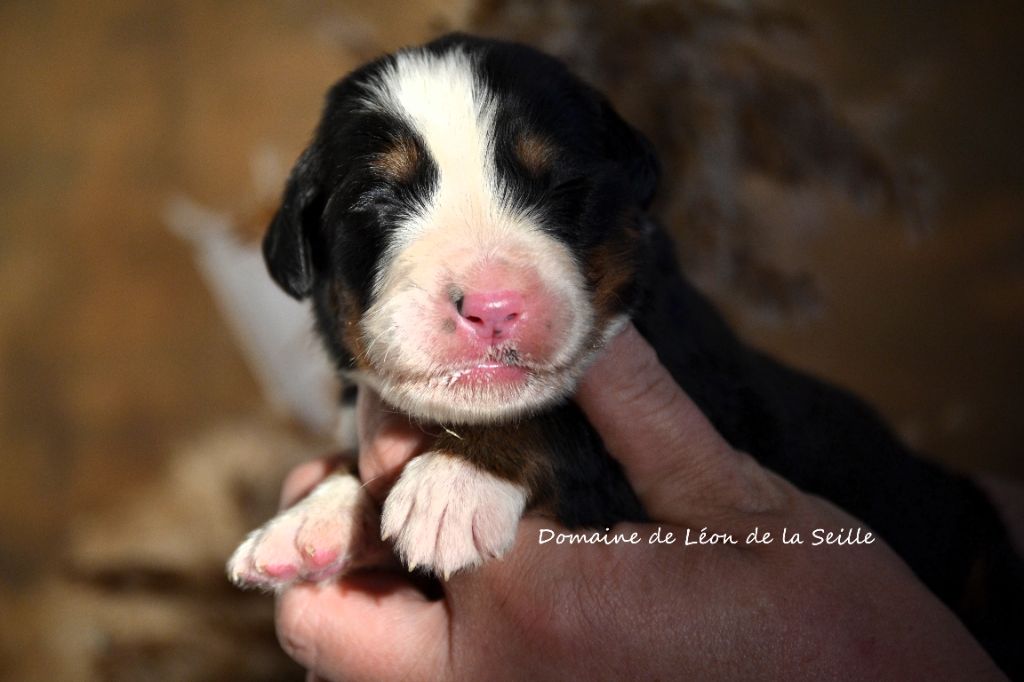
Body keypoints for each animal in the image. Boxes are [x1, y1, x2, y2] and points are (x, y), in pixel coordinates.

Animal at [228, 33, 1019, 675]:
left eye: (562, 185)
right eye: (379, 200)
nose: (492, 305)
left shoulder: (693, 390)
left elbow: (564, 416)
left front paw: (455, 480)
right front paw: (310, 521)